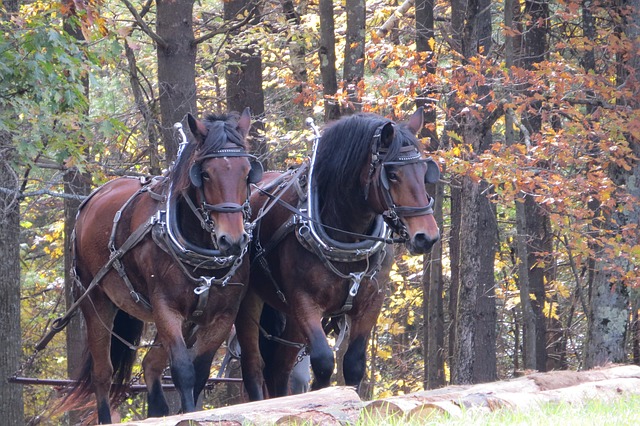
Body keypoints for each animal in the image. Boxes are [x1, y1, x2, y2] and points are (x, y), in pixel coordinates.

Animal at [62, 108, 262, 424]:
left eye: (246, 173)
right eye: (205, 174)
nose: (231, 240)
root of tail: (95, 196)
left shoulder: (223, 315)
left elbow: (200, 372)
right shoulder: (165, 307)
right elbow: (183, 371)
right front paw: (188, 415)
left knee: (150, 364)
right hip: (95, 299)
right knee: (102, 374)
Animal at [234, 108, 441, 400]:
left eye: (424, 171)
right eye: (392, 175)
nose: (427, 236)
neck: (346, 235)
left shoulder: (371, 302)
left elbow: (354, 364)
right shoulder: (303, 301)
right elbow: (323, 361)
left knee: (280, 365)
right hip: (249, 302)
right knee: (254, 366)